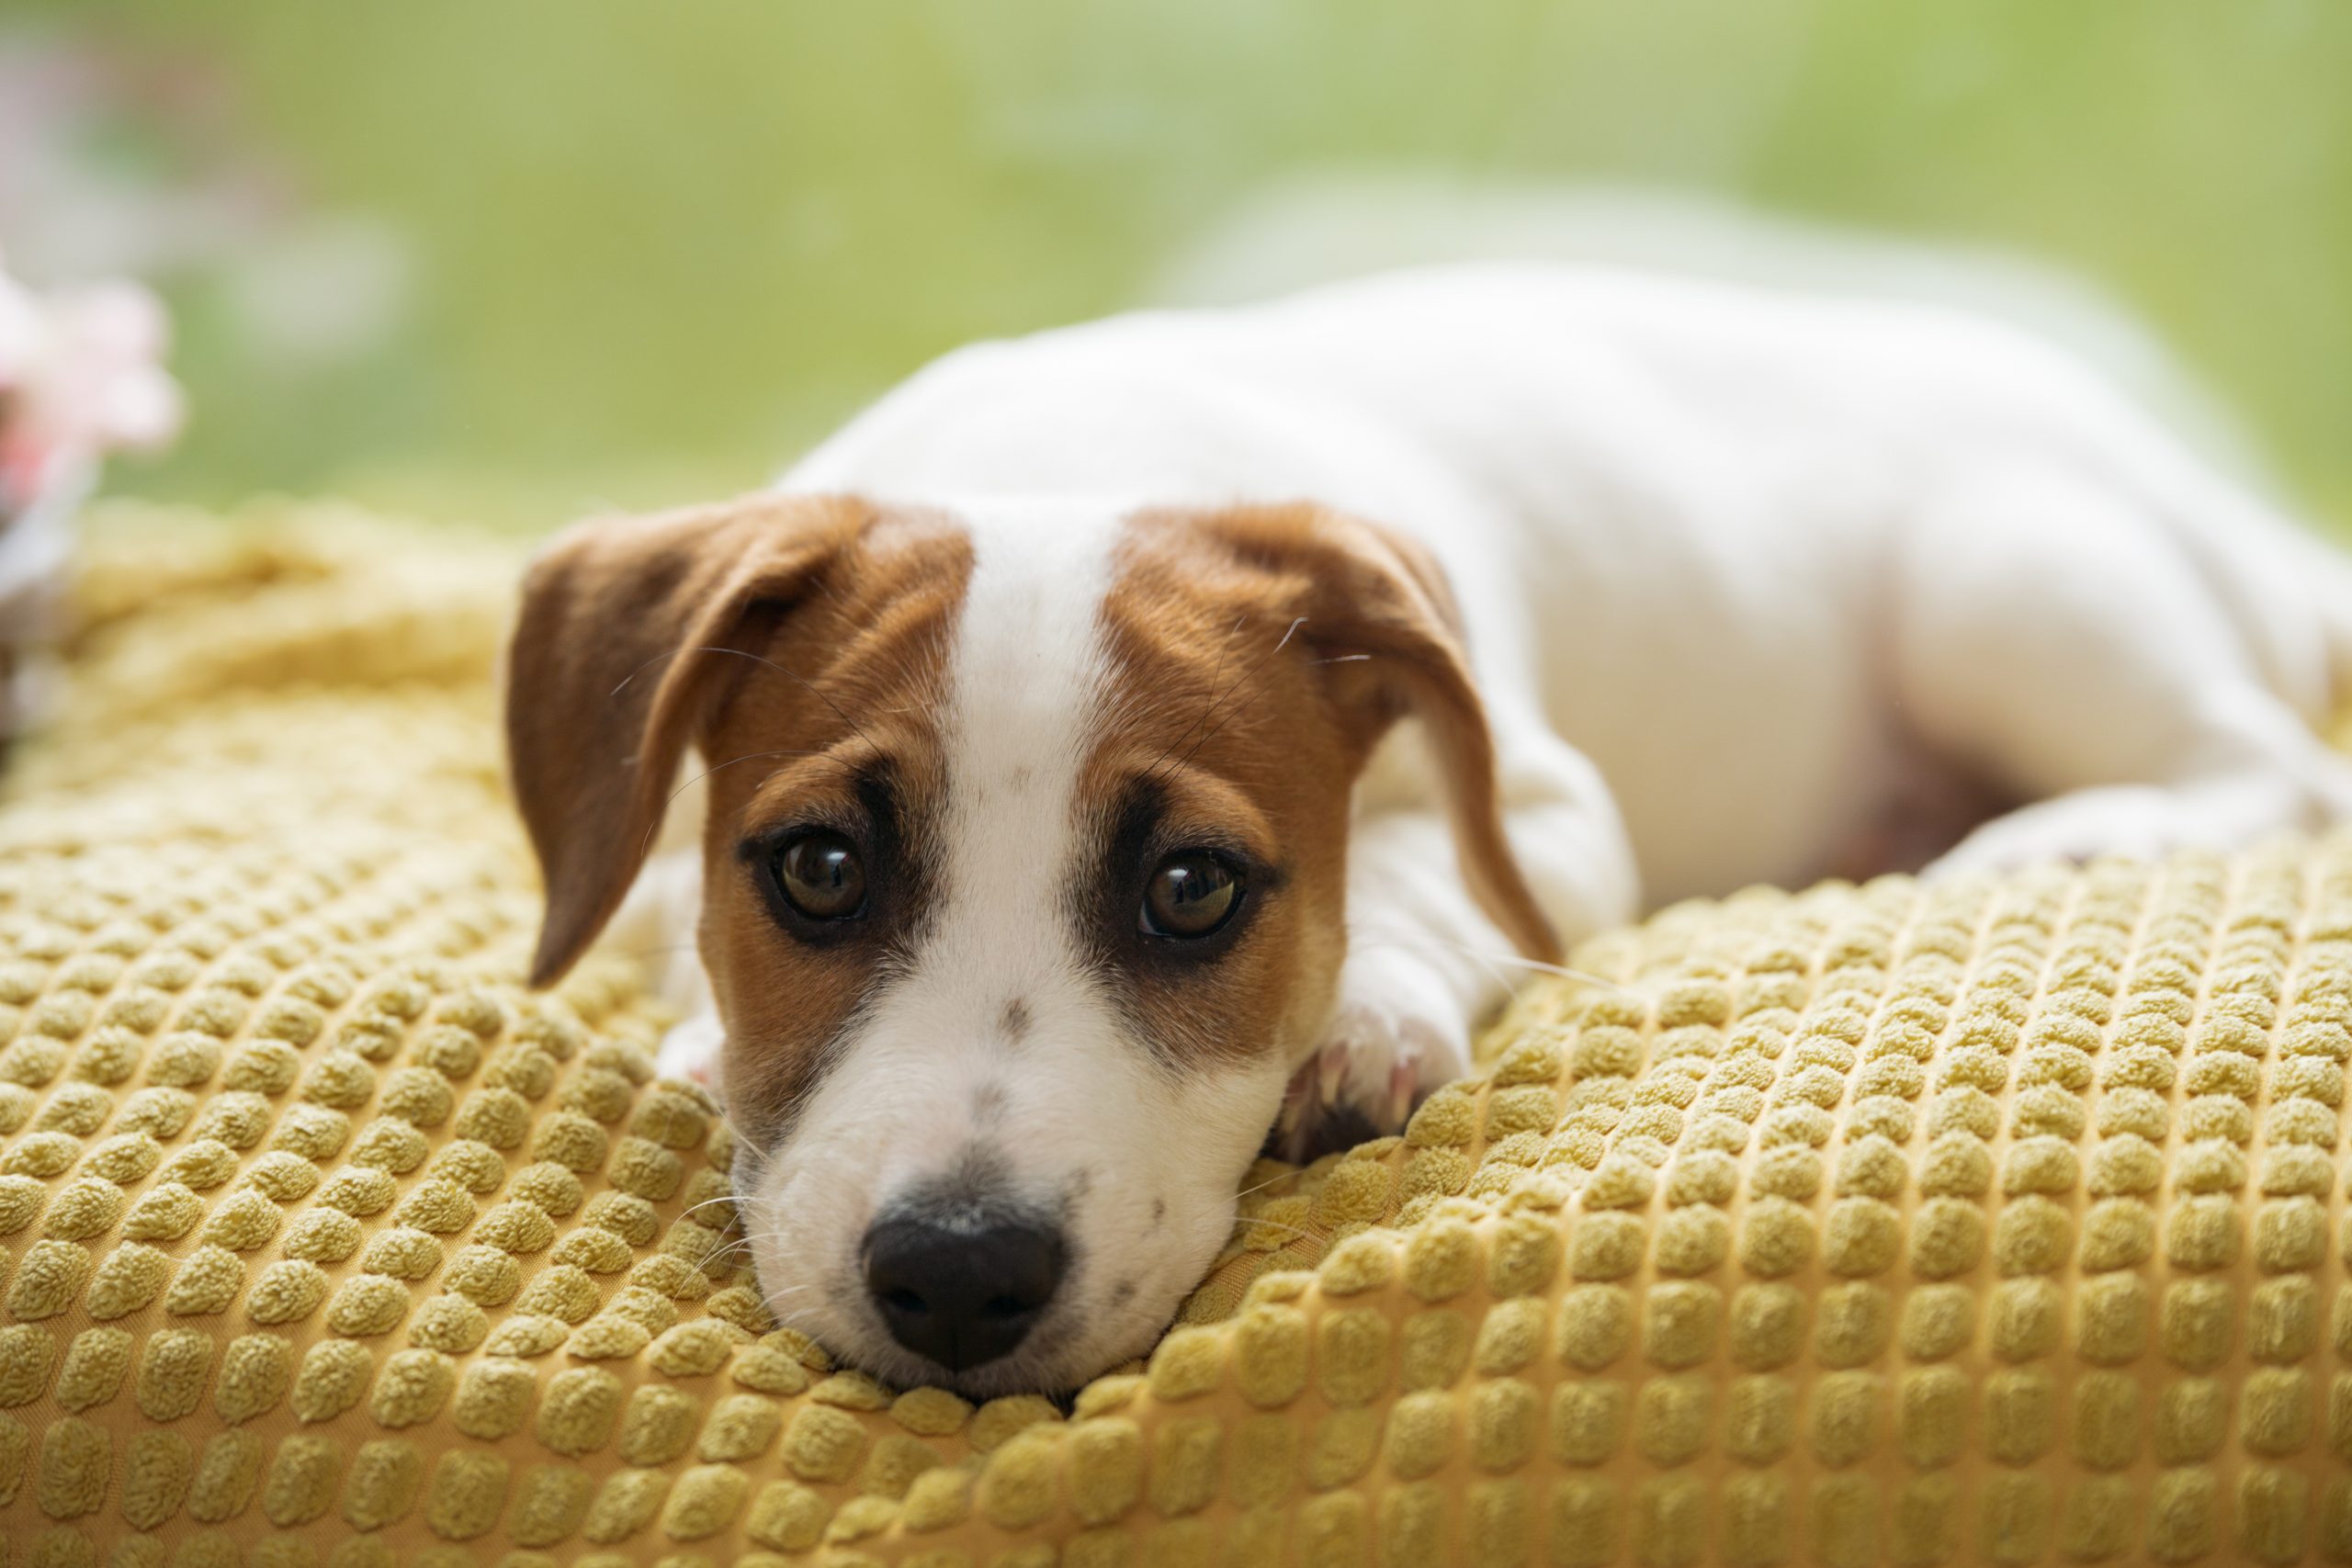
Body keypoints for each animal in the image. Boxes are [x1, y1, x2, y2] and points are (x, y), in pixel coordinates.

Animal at [505, 261, 2352, 1401]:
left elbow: (1416, 871)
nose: (959, 1278)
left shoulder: (1540, 807)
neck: (1079, 458)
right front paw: (699, 1033)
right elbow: (666, 918)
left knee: (2267, 758)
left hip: (2003, 580)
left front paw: (1367, 1013)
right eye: (819, 868)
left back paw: (2058, 840)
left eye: (1195, 890)